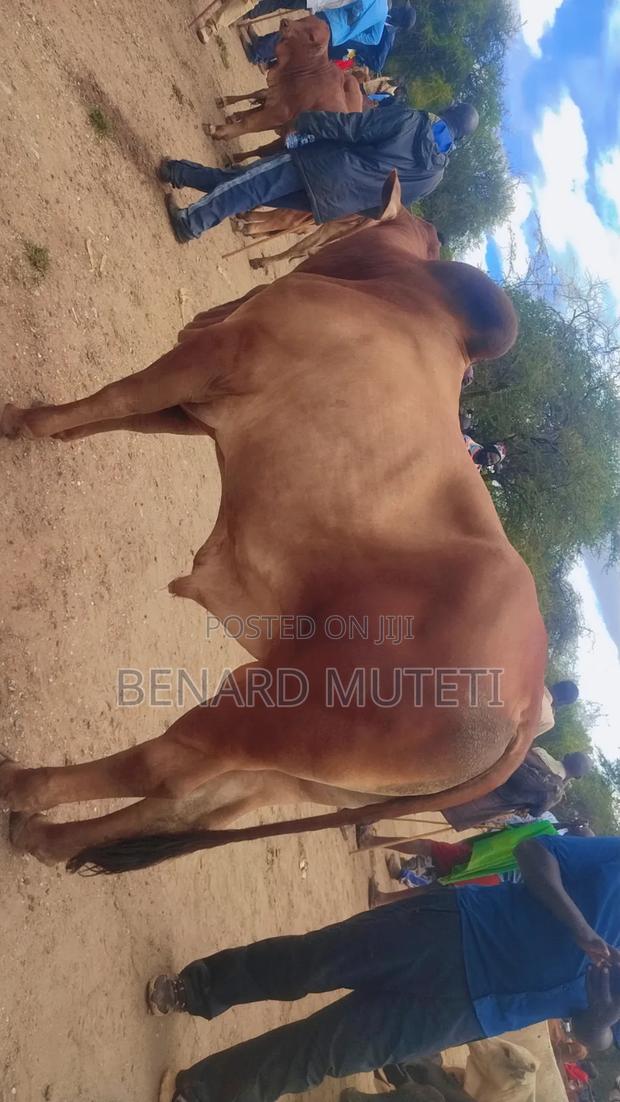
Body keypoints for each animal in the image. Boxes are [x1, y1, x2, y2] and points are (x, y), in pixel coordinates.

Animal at [0, 173, 547, 878]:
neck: (394, 291)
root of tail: (528, 707)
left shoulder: (208, 359)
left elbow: (112, 397)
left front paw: (18, 419)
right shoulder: (199, 405)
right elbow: (109, 416)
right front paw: (37, 427)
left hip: (277, 709)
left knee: (162, 766)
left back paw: (20, 787)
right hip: (304, 773)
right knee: (187, 806)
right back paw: (44, 838)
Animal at [204, 15, 363, 142]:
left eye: (311, 37)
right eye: (305, 19)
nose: (285, 22)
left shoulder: (280, 112)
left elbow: (248, 123)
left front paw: (218, 130)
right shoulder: (274, 96)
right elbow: (256, 96)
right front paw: (225, 104)